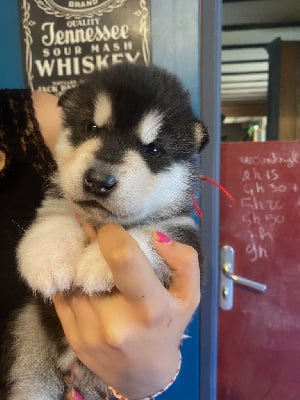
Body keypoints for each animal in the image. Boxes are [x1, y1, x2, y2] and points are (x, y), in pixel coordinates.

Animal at [1, 63, 209, 400]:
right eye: (91, 127)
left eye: (153, 149)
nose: (99, 181)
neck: (102, 223)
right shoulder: (58, 202)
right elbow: (57, 217)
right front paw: (48, 259)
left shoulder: (185, 236)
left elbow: (146, 236)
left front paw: (98, 262)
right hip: (28, 337)